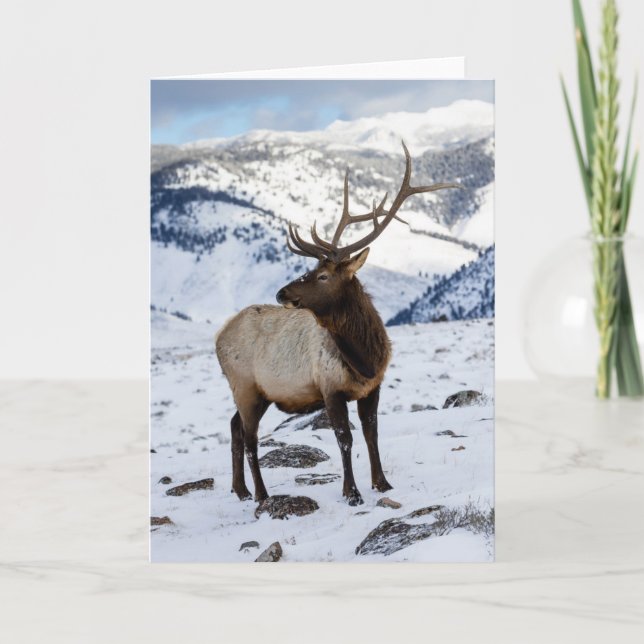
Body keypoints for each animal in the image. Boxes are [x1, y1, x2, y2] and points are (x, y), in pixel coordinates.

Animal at [215, 142, 460, 506]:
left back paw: (241, 490)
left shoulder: (372, 387)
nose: (281, 292)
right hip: (245, 386)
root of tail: (218, 336)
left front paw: (382, 483)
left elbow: (372, 433)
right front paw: (352, 493)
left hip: (256, 393)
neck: (365, 358)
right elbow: (345, 438)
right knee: (249, 438)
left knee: (234, 428)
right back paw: (261, 494)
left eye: (323, 275)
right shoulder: (330, 388)